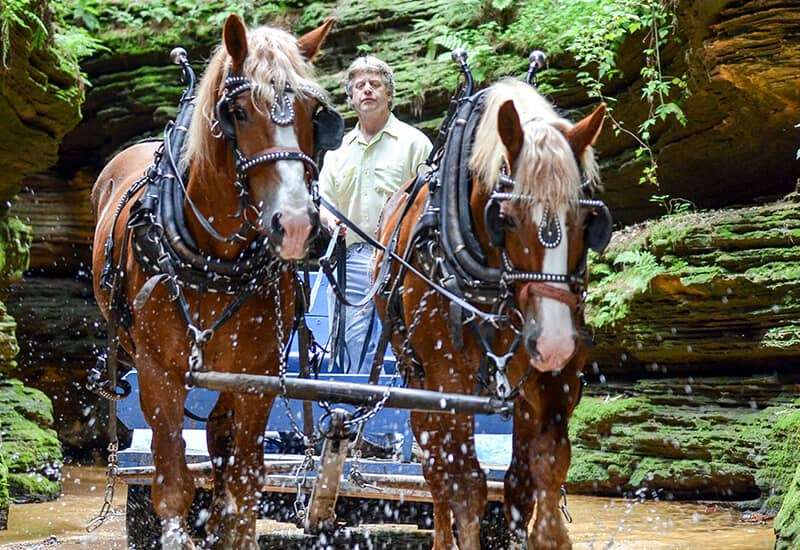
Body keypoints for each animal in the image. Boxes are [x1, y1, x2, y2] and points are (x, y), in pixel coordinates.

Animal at [93, 14, 338, 550]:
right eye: (239, 112)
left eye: (315, 113)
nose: (295, 224)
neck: (214, 261)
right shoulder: (158, 373)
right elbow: (171, 485)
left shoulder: (257, 377)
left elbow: (241, 492)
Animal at [376, 80, 608, 548]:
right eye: (506, 217)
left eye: (586, 219)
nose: (553, 342)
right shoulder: (447, 380)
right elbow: (466, 487)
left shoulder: (555, 380)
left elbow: (541, 472)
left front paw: (547, 534)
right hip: (415, 377)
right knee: (436, 472)